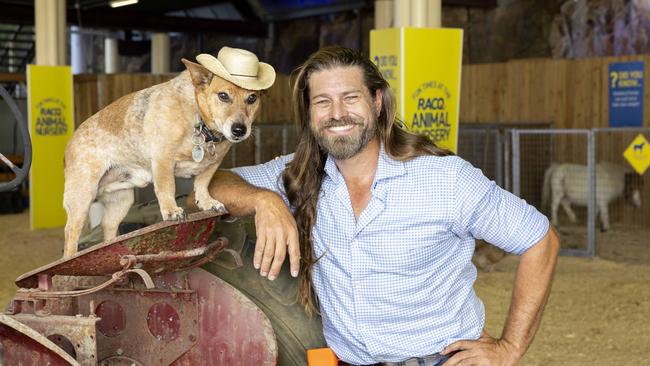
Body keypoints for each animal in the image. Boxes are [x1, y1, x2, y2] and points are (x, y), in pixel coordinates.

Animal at [65, 46, 276, 258]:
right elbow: (167, 187)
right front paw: (171, 211)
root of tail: (71, 142)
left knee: (108, 231)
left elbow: (202, 184)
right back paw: (71, 260)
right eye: (223, 96)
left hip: (122, 201)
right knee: (70, 235)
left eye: (252, 98)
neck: (200, 124)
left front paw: (206, 202)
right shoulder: (163, 159)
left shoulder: (213, 164)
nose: (239, 130)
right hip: (83, 198)